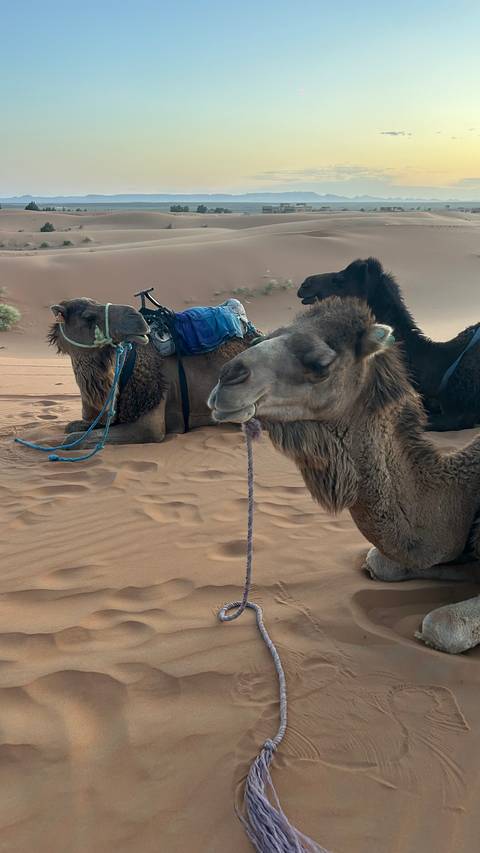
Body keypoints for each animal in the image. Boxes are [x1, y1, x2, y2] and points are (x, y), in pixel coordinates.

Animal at [208, 297, 480, 654]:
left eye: (321, 363)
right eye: (261, 338)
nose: (228, 377)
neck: (460, 493)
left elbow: (442, 626)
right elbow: (379, 562)